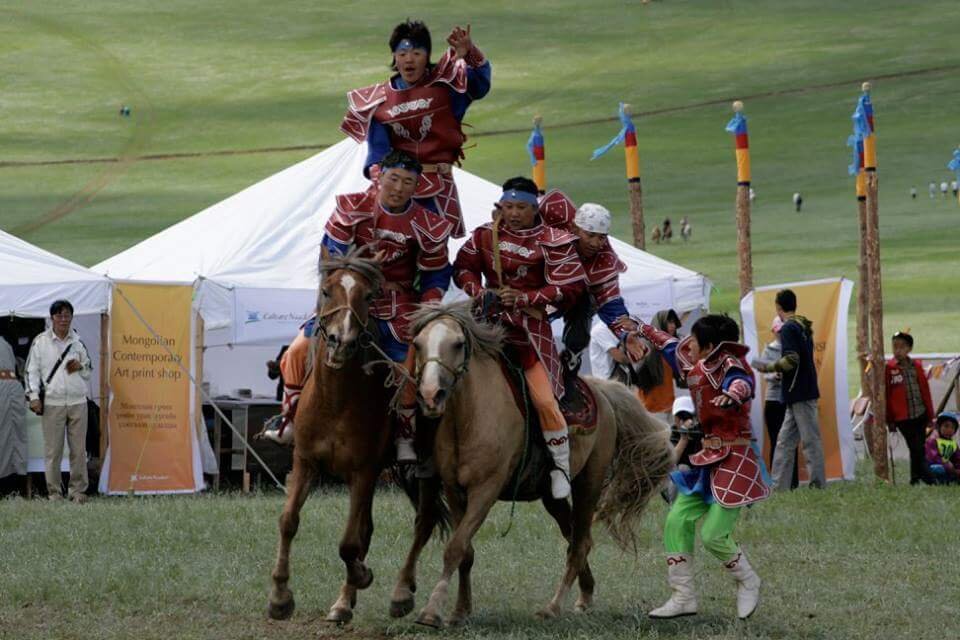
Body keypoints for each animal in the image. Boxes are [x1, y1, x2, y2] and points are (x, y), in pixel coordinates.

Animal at [266, 250, 438, 624]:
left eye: (369, 295)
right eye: (326, 290)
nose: (341, 341)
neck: (335, 400)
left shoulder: (363, 473)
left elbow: (349, 543)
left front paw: (362, 575)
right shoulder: (305, 462)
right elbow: (288, 521)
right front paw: (280, 597)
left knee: (423, 523)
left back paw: (400, 594)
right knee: (371, 529)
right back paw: (345, 602)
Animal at [406, 304, 676, 624]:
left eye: (458, 344)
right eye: (418, 344)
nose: (430, 395)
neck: (471, 416)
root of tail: (602, 392)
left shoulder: (485, 491)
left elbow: (455, 548)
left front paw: (432, 610)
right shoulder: (454, 490)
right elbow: (465, 552)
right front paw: (460, 609)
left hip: (589, 483)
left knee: (580, 543)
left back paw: (553, 606)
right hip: (551, 496)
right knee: (574, 537)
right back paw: (585, 593)